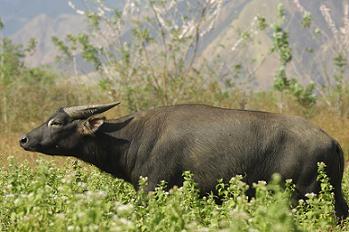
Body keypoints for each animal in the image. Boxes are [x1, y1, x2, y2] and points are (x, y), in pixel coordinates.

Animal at [19, 103, 348, 219]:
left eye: (57, 122)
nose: (24, 139)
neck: (134, 138)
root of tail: (331, 140)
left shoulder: (151, 190)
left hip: (300, 196)